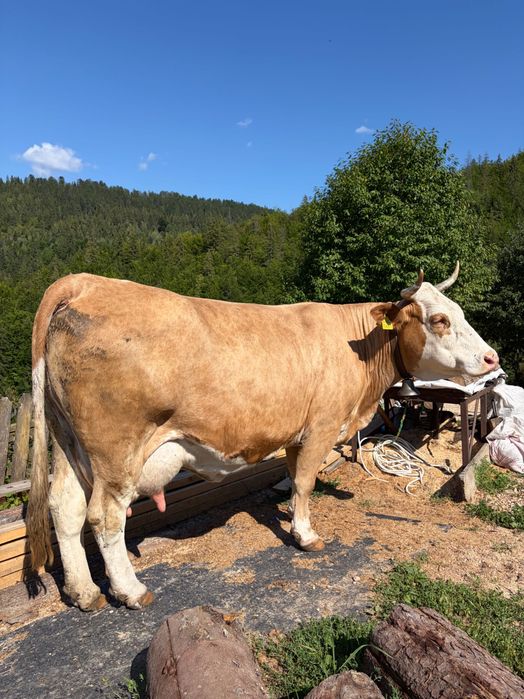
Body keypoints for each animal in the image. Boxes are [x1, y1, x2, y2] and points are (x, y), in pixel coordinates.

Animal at [27, 264, 498, 611]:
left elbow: (293, 479)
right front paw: (304, 535)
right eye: (439, 319)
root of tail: (86, 282)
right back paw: (130, 590)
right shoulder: (321, 426)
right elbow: (305, 483)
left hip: (69, 444)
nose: (492, 357)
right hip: (116, 450)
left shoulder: (295, 433)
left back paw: (84, 592)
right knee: (105, 516)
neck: (358, 349)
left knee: (65, 507)